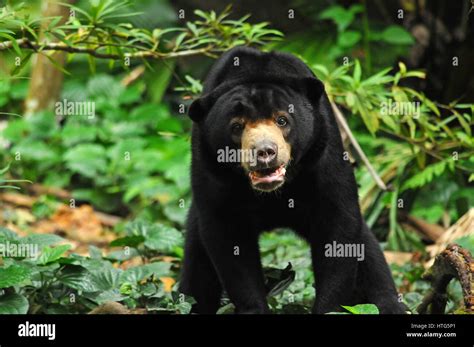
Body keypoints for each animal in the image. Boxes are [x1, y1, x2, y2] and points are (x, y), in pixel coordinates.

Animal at [180, 46, 406, 316]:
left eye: (282, 120)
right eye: (237, 126)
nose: (265, 152)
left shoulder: (323, 152)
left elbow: (337, 227)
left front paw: (328, 308)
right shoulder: (211, 168)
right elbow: (228, 238)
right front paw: (254, 308)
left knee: (370, 255)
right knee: (196, 269)